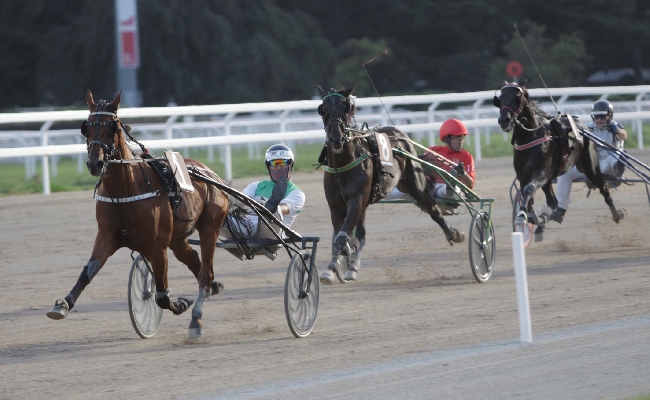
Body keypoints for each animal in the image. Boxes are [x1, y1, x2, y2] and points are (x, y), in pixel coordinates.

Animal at [46, 89, 228, 340]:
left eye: (112, 126)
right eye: (86, 126)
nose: (95, 163)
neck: (126, 190)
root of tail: (209, 173)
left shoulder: (157, 248)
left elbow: (162, 297)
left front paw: (181, 304)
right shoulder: (107, 237)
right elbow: (87, 272)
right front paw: (63, 304)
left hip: (210, 227)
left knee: (204, 275)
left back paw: (196, 319)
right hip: (178, 240)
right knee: (196, 262)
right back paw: (214, 287)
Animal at [316, 86, 460, 282]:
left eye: (346, 108)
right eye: (322, 109)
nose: (336, 138)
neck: (343, 163)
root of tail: (399, 133)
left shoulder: (357, 199)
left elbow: (341, 237)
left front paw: (334, 266)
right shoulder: (335, 204)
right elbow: (341, 235)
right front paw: (334, 267)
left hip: (414, 184)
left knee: (432, 208)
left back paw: (452, 233)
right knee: (361, 234)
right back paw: (352, 267)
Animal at [492, 81, 624, 238]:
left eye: (517, 96)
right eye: (501, 97)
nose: (504, 120)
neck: (530, 137)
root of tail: (583, 127)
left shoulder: (542, 171)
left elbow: (529, 189)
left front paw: (523, 215)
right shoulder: (523, 175)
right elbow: (526, 194)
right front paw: (533, 217)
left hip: (590, 166)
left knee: (603, 187)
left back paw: (616, 214)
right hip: (550, 178)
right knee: (553, 201)